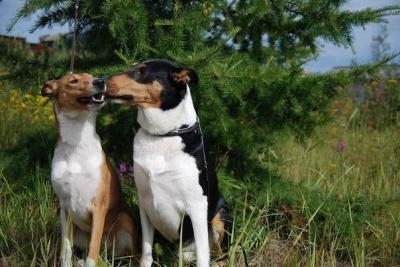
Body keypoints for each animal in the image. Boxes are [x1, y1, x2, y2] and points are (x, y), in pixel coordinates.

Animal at [41, 73, 139, 267]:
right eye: (73, 81)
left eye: (91, 76)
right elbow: (66, 250)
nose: (101, 81)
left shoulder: (98, 207)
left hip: (124, 221)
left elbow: (92, 252)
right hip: (79, 232)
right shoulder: (64, 209)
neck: (77, 145)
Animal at [106, 60, 231, 267]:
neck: (162, 136)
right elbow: (146, 251)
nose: (100, 81)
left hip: (221, 215)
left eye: (142, 71)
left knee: (220, 254)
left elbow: (203, 255)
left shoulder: (197, 206)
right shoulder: (144, 202)